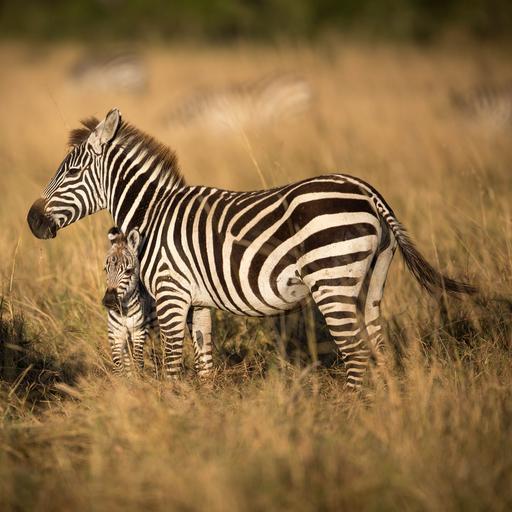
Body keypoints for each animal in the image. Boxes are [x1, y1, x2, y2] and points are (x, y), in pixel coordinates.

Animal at [102, 226, 213, 376]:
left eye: (128, 271)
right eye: (105, 270)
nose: (108, 301)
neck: (123, 310)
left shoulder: (139, 331)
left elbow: (138, 362)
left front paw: (139, 379)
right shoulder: (114, 334)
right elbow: (118, 367)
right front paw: (125, 381)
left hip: (155, 321)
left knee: (158, 351)